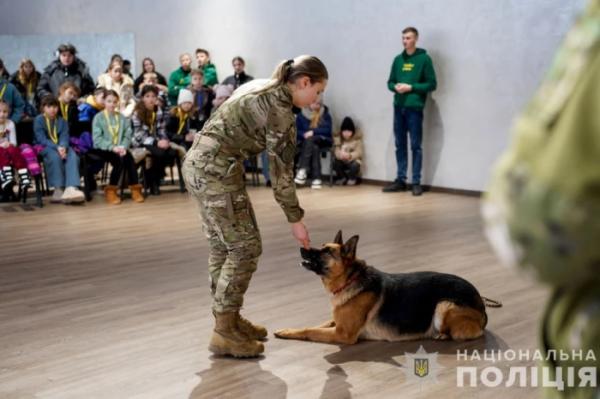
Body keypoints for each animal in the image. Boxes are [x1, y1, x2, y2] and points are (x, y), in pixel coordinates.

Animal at [274, 233, 496, 346]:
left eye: (326, 252)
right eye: (321, 246)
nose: (301, 248)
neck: (350, 279)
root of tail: (481, 302)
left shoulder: (343, 334)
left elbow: (310, 330)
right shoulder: (337, 322)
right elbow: (318, 323)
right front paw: (287, 329)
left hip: (443, 305)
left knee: (467, 333)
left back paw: (442, 335)